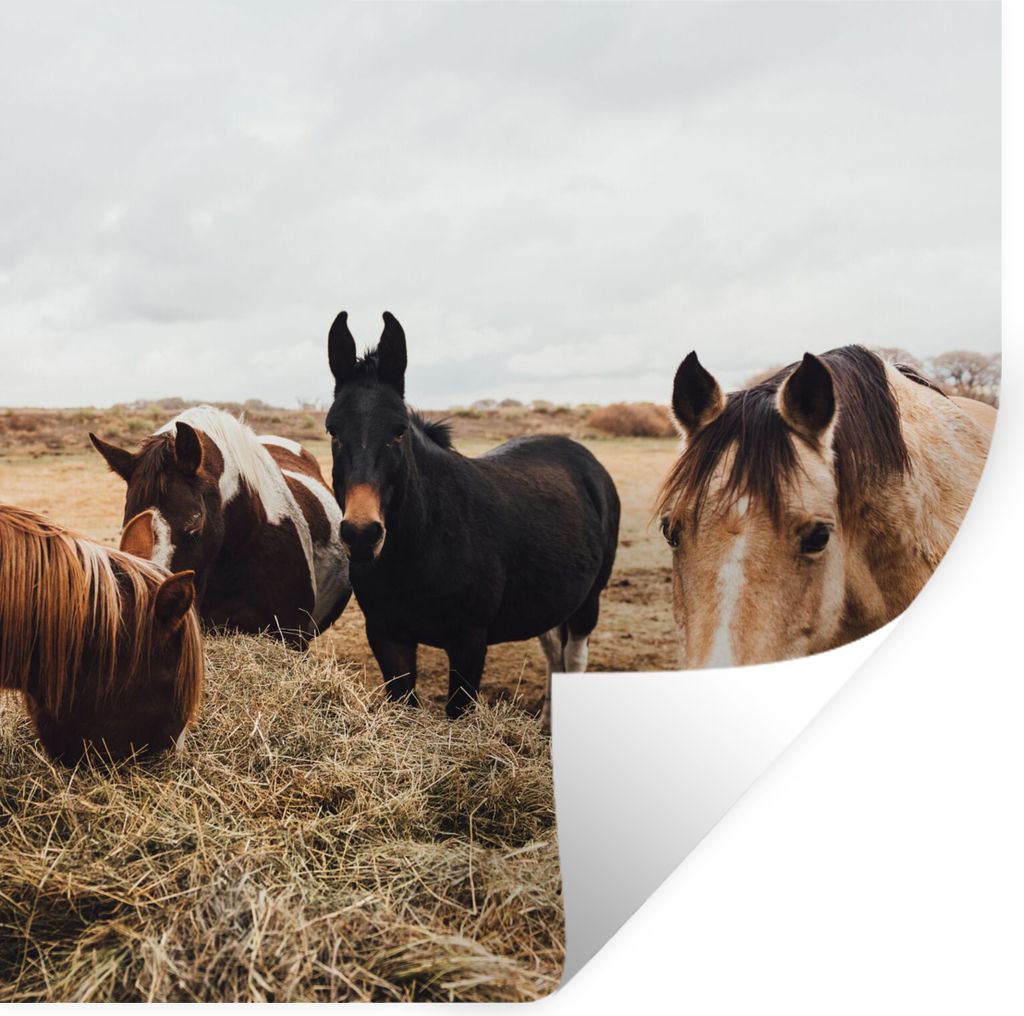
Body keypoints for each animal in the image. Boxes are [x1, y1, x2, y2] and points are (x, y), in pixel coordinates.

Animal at [324, 311, 621, 725]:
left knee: (574, 656)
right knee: (553, 655)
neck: (423, 543)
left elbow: (459, 709)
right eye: (333, 430)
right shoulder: (387, 636)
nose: (362, 534)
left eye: (399, 431)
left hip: (588, 601)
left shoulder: (469, 642)